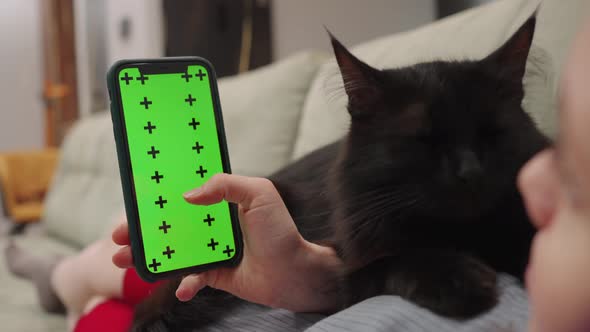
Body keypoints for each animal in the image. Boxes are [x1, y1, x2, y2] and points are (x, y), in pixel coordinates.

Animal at [132, 16, 552, 330]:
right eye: (422, 139)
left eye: (491, 133)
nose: (470, 172)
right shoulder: (351, 270)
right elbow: (400, 259)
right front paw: (460, 282)